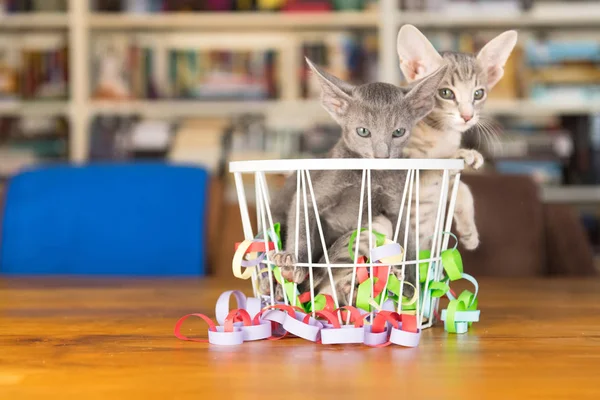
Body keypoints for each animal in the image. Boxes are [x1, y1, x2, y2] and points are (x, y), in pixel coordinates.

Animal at [264, 57, 448, 304]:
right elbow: (302, 215)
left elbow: (406, 239)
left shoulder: (397, 200)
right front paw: (293, 263)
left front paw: (408, 283)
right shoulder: (314, 191)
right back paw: (274, 284)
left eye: (398, 132)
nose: (382, 156)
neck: (369, 177)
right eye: (363, 131)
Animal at [396, 25, 516, 250]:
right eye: (445, 93)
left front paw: (470, 231)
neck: (440, 134)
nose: (467, 116)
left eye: (478, 94)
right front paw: (459, 154)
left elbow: (464, 189)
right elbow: (429, 169)